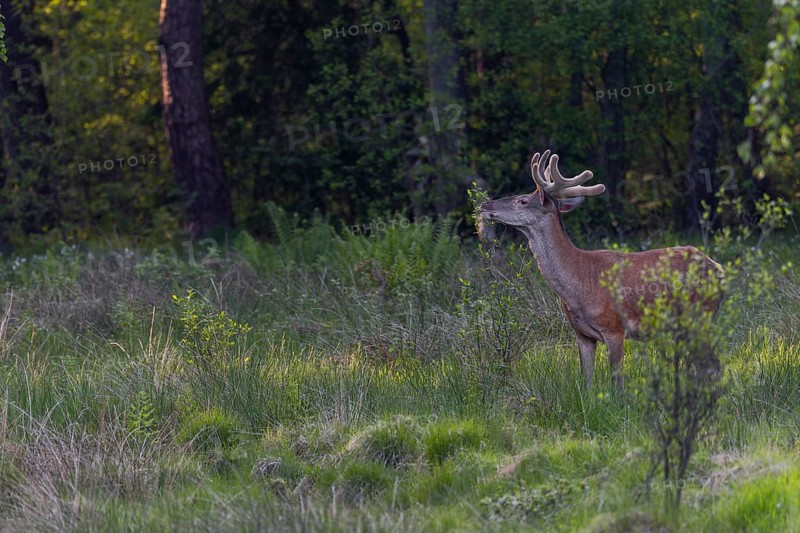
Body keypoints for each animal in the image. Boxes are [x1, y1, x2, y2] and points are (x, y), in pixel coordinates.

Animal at [478, 151, 724, 390]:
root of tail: (718, 268)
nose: (484, 205)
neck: (579, 284)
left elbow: (618, 384)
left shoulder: (615, 328)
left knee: (712, 364)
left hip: (701, 316)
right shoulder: (582, 334)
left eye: (522, 200)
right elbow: (586, 381)